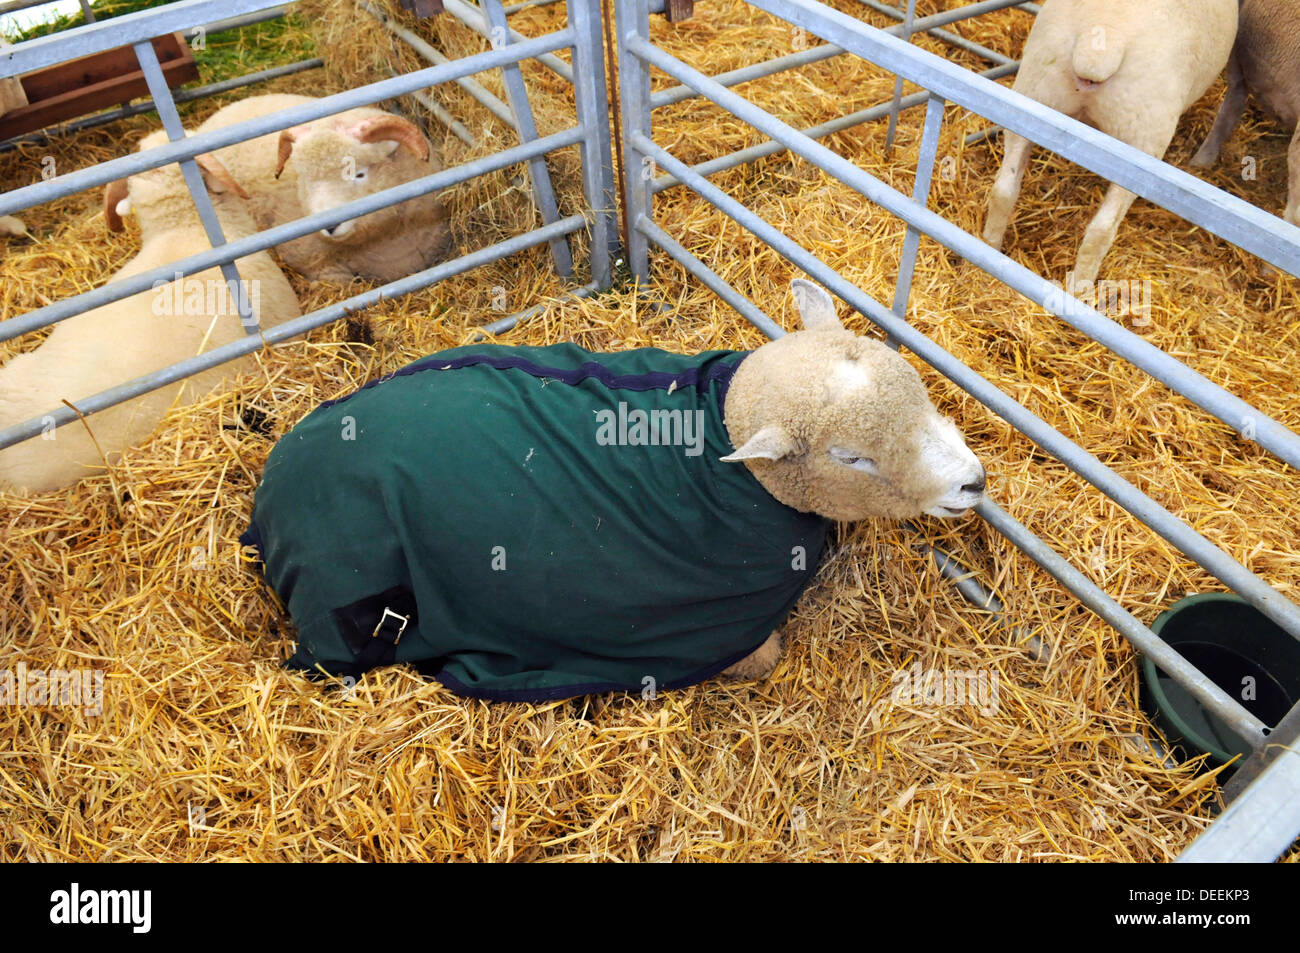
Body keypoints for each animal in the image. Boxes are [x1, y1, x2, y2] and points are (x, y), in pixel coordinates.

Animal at [982, 0, 1239, 290]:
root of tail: (1101, 42)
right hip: (1142, 138)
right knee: (1102, 229)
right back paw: (1080, 289)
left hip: (1031, 94)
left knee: (1004, 189)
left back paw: (991, 245)